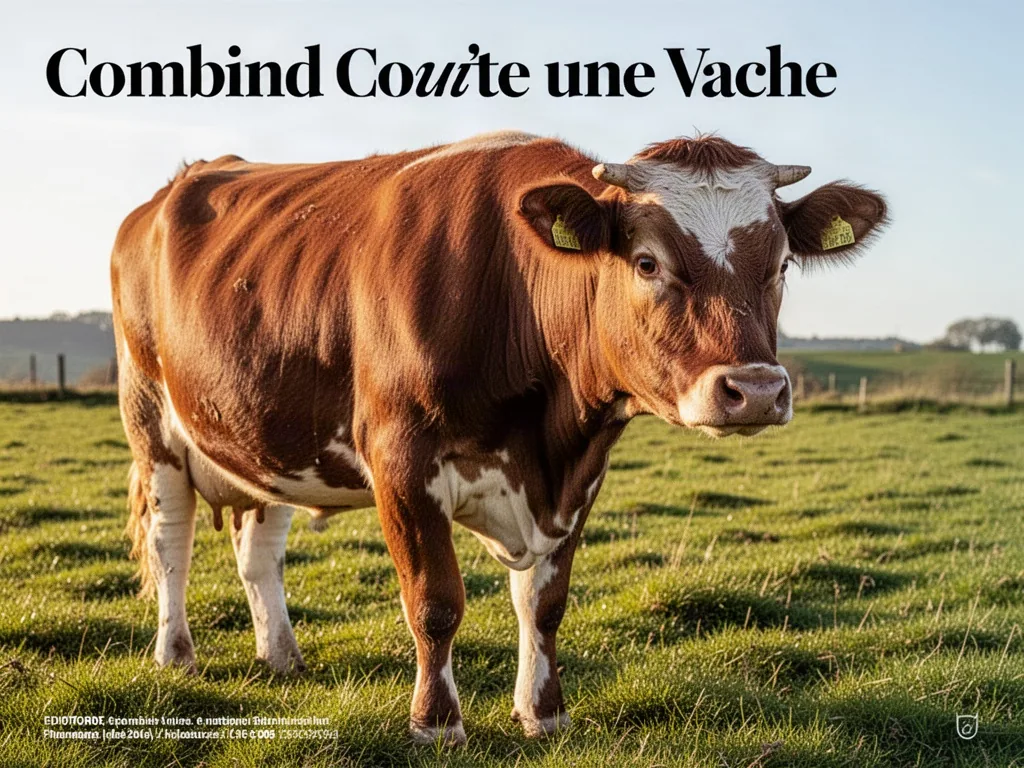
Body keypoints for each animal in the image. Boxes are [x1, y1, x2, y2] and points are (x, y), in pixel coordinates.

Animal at [111, 130, 887, 744]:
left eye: (781, 264)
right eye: (647, 262)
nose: (754, 389)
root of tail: (172, 189)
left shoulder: (578, 474)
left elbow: (543, 603)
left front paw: (543, 714)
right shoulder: (401, 461)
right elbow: (434, 603)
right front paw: (435, 723)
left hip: (267, 438)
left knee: (259, 552)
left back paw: (280, 655)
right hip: (152, 423)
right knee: (171, 545)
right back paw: (175, 656)